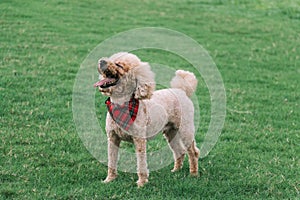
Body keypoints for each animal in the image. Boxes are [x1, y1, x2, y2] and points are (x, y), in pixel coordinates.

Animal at [94, 52, 199, 187]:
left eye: (119, 65)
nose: (101, 61)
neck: (122, 105)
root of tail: (181, 90)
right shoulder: (112, 137)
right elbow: (111, 160)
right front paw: (109, 179)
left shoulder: (139, 139)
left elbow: (141, 162)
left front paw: (142, 183)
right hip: (171, 131)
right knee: (179, 150)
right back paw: (176, 170)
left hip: (185, 128)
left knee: (193, 152)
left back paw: (194, 173)